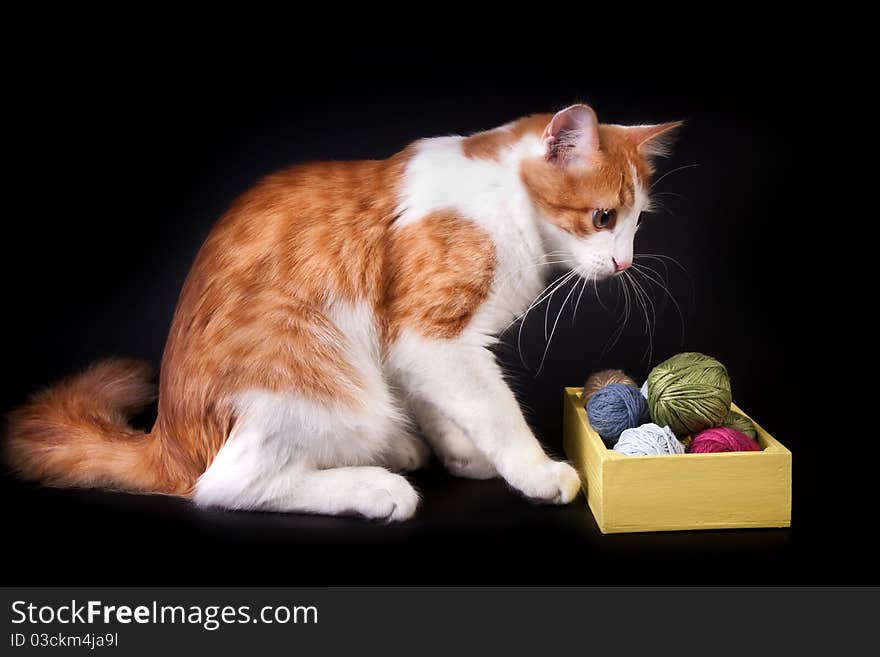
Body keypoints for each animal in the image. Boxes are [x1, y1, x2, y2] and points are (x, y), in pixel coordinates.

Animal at [3, 105, 680, 520]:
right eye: (602, 218)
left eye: (637, 221)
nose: (623, 264)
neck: (505, 202)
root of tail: (165, 441)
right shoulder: (433, 339)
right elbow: (498, 412)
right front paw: (537, 472)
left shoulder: (411, 349)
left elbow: (445, 408)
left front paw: (461, 455)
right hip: (319, 377)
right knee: (226, 486)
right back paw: (377, 488)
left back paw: (397, 452)